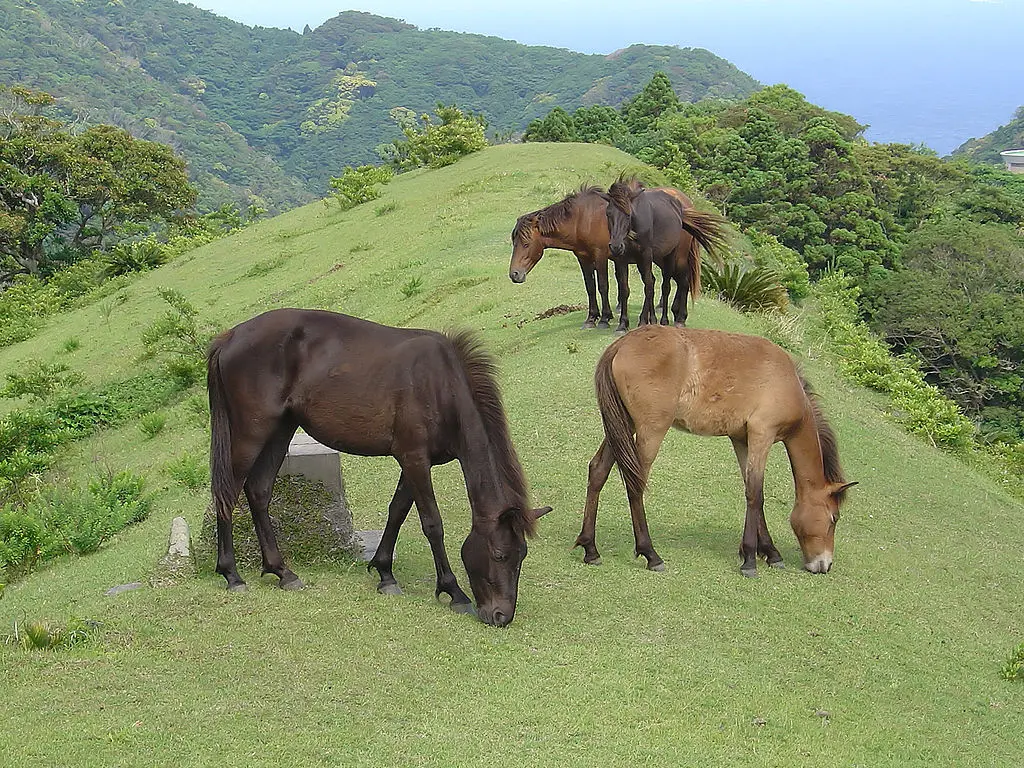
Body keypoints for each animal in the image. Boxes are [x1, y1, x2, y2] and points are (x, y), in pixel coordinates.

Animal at [206, 309, 552, 626]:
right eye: (499, 555)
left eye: (521, 555)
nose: (502, 616)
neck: (440, 385)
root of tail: (229, 337)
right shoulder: (414, 459)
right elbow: (432, 524)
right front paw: (452, 591)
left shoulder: (414, 462)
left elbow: (397, 511)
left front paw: (385, 573)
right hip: (251, 433)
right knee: (227, 494)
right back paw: (232, 574)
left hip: (281, 430)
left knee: (258, 491)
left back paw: (281, 571)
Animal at [577, 325, 856, 577]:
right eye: (834, 518)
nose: (824, 565)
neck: (787, 382)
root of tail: (620, 344)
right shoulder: (762, 435)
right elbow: (756, 495)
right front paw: (750, 559)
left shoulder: (742, 440)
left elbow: (752, 491)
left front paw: (769, 552)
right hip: (650, 430)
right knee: (636, 484)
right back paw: (651, 554)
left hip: (623, 425)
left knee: (598, 471)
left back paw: (590, 548)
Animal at [606, 181, 729, 331]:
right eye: (608, 214)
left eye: (628, 215)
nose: (616, 246)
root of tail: (682, 209)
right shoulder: (622, 259)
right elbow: (624, 288)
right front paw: (623, 324)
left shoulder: (645, 257)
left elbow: (648, 286)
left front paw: (643, 321)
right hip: (662, 259)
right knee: (675, 282)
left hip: (675, 257)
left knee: (675, 284)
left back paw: (674, 319)